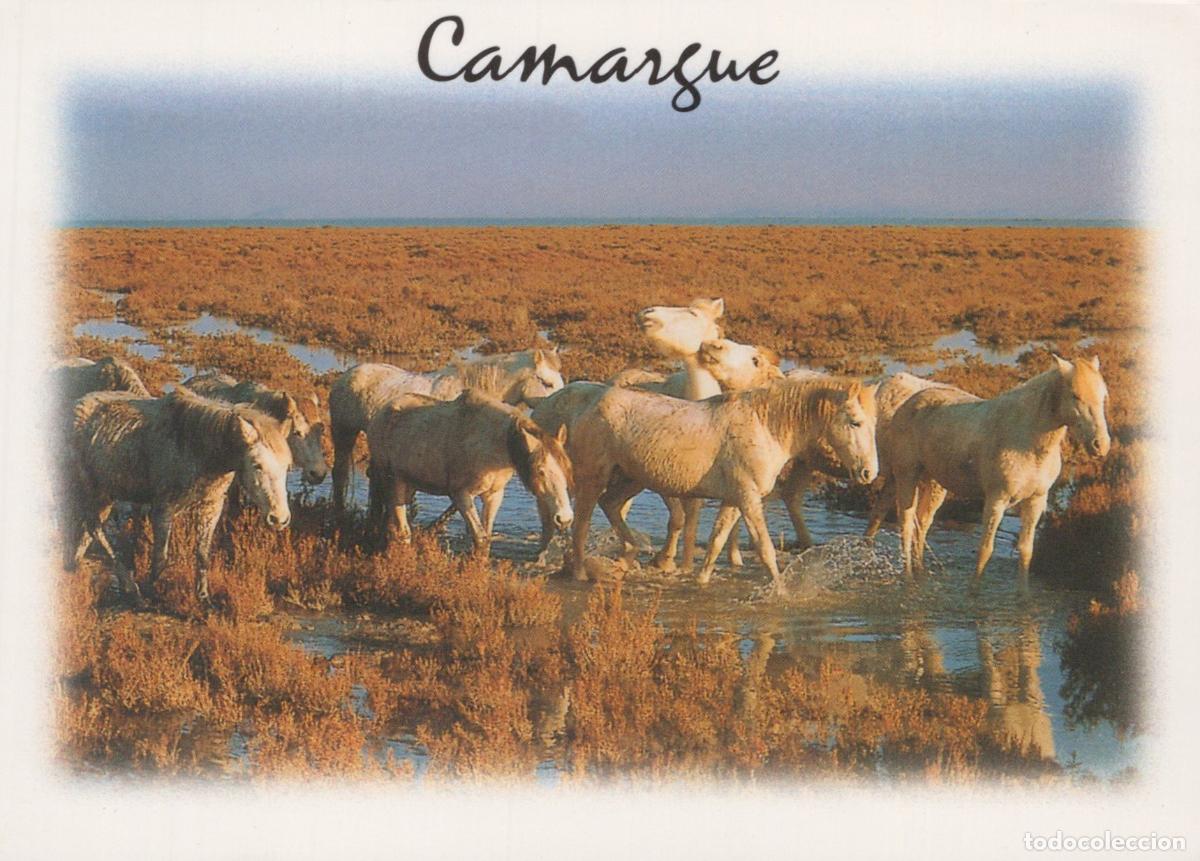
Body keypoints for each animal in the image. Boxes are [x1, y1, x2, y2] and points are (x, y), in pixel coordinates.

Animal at [64, 387, 292, 608]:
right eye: (257, 465)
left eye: (286, 466)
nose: (279, 518)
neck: (198, 447)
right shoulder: (163, 508)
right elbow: (160, 558)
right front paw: (153, 593)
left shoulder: (211, 505)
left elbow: (202, 554)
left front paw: (204, 598)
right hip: (91, 490)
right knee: (95, 529)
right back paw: (133, 591)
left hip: (105, 494)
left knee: (89, 530)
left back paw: (76, 569)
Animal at [365, 389, 574, 552]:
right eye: (540, 471)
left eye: (566, 471)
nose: (564, 518)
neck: (496, 444)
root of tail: (381, 413)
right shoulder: (461, 495)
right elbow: (480, 538)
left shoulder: (493, 495)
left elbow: (486, 538)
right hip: (394, 481)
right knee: (402, 532)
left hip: (408, 485)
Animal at [567, 377, 879, 595]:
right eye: (855, 422)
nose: (869, 472)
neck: (765, 427)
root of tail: (590, 404)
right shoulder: (749, 499)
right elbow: (765, 549)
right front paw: (782, 591)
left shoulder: (733, 499)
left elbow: (716, 542)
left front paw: (701, 581)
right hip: (594, 478)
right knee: (581, 524)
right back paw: (580, 573)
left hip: (632, 479)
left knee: (611, 505)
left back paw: (632, 553)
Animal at [884, 355, 1110, 587]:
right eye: (1075, 395)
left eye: (1103, 396)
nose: (1100, 445)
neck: (1027, 441)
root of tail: (910, 401)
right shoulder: (996, 500)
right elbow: (985, 550)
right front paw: (973, 591)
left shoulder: (1036, 501)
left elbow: (1026, 552)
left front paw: (1023, 594)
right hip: (907, 476)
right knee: (907, 525)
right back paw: (909, 578)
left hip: (934, 483)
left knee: (922, 524)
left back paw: (920, 572)